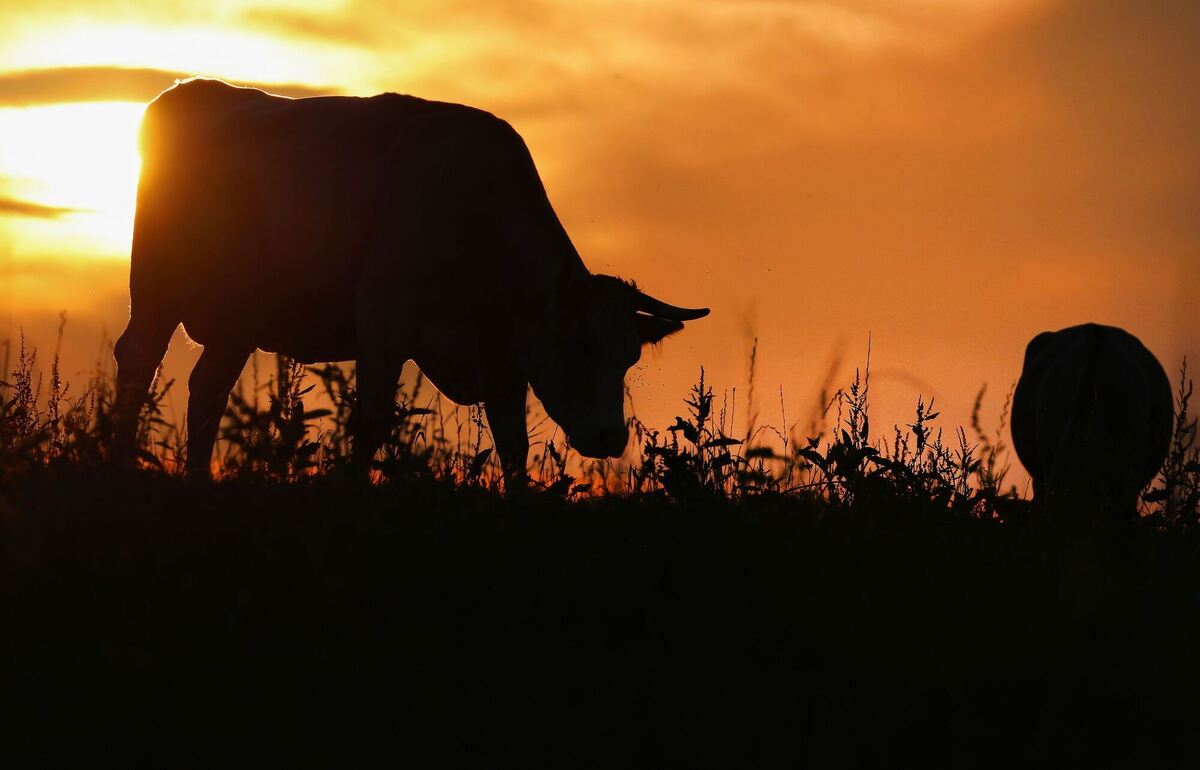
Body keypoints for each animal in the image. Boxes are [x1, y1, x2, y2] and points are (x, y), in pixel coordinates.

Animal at [112, 80, 705, 479]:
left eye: (629, 356)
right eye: (580, 345)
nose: (610, 436)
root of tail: (188, 90)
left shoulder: (504, 363)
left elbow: (513, 444)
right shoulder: (382, 324)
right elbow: (372, 422)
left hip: (238, 321)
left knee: (207, 390)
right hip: (156, 290)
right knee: (138, 360)